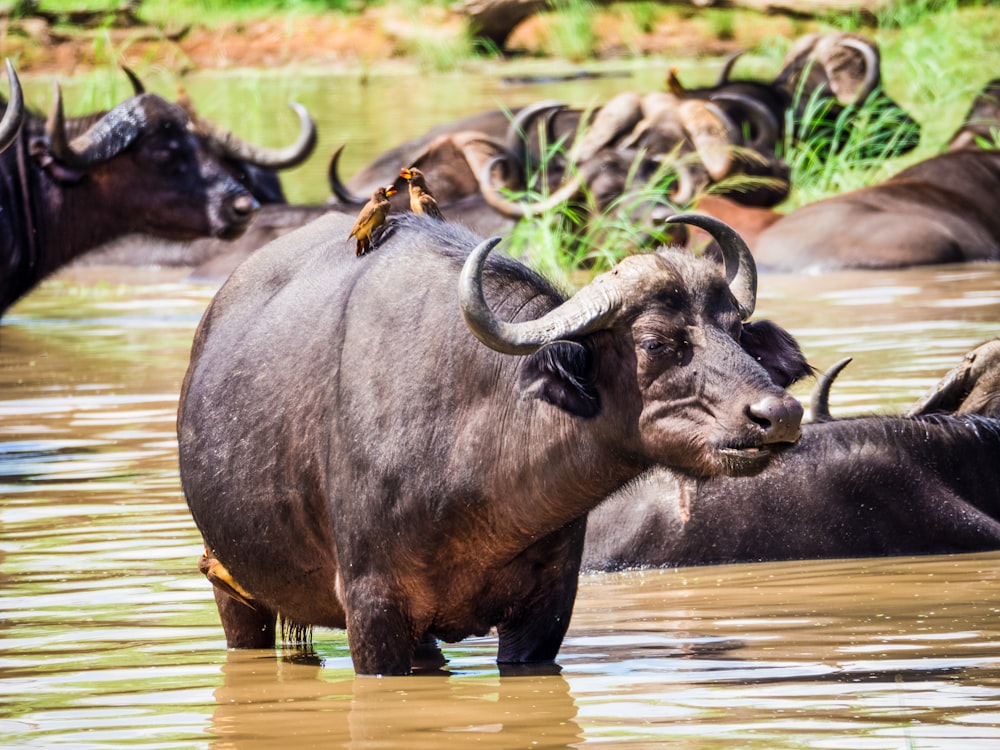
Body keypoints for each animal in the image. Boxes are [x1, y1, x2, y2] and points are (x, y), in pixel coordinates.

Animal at [176, 210, 804, 676]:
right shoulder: (373, 609)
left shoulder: (545, 613)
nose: (779, 414)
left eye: (737, 331)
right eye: (654, 342)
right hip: (231, 584)